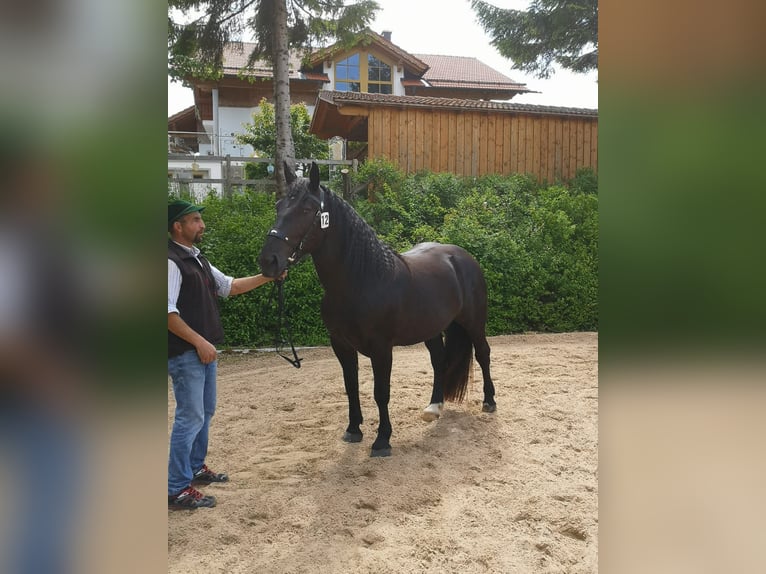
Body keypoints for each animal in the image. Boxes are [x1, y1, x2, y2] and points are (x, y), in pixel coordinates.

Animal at [258, 162, 498, 460]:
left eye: (306, 209)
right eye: (279, 206)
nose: (268, 261)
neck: (361, 281)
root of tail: (462, 257)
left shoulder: (382, 348)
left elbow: (381, 392)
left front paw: (382, 440)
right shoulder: (341, 345)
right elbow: (351, 387)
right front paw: (353, 430)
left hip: (474, 322)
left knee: (483, 354)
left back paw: (489, 401)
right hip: (431, 329)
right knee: (439, 361)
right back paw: (434, 406)